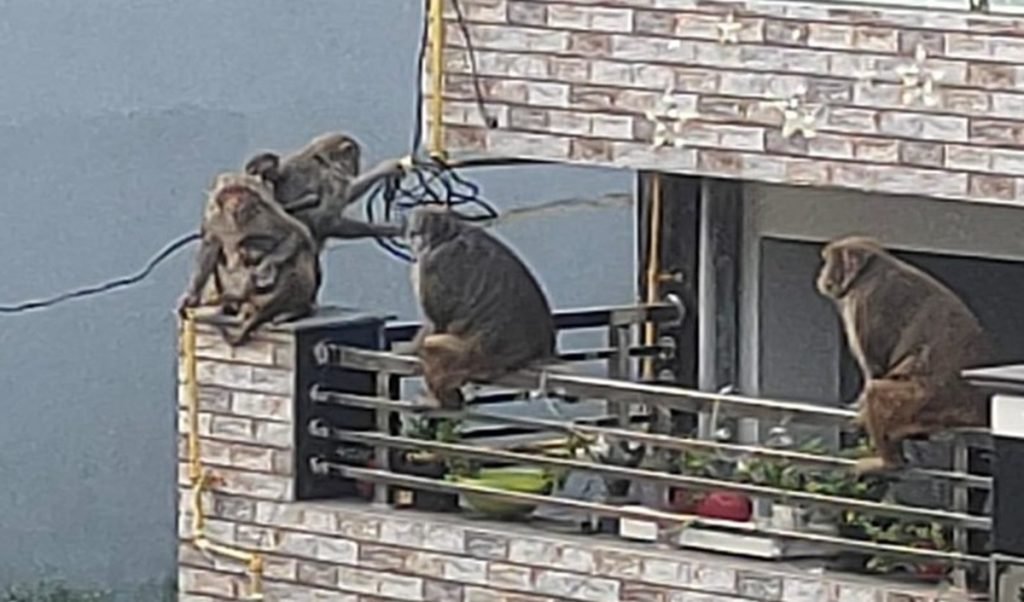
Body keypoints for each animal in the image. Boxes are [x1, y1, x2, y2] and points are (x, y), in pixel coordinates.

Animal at [177, 171, 321, 346]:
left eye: (240, 192)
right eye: (229, 193)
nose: (235, 201)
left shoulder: (265, 213)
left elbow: (296, 234)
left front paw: (265, 268)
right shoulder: (213, 218)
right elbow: (210, 248)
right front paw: (191, 296)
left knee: (300, 253)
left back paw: (295, 309)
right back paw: (232, 306)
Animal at [243, 131, 405, 247]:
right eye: (356, 158)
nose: (357, 168)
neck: (324, 161)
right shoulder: (331, 178)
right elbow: (326, 223)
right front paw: (393, 229)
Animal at [405, 206, 557, 410]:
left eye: (417, 232)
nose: (415, 242)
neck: (449, 235)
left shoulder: (435, 261)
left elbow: (437, 319)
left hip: (480, 357)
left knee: (433, 346)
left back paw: (447, 400)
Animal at [815, 235, 994, 474]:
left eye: (828, 262)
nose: (822, 275)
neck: (870, 270)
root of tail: (980, 409)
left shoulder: (866, 300)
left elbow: (875, 368)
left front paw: (861, 410)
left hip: (930, 403)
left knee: (878, 393)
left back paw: (889, 463)